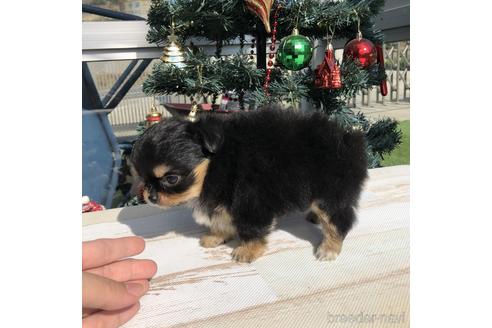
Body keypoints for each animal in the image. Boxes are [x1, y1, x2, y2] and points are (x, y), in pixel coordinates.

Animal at [131, 109, 366, 262]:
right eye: (141, 177)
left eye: (171, 179)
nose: (150, 196)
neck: (218, 162)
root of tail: (350, 140)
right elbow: (221, 220)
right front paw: (215, 236)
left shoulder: (250, 202)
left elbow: (250, 229)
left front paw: (247, 251)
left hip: (330, 194)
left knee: (338, 220)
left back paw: (329, 248)